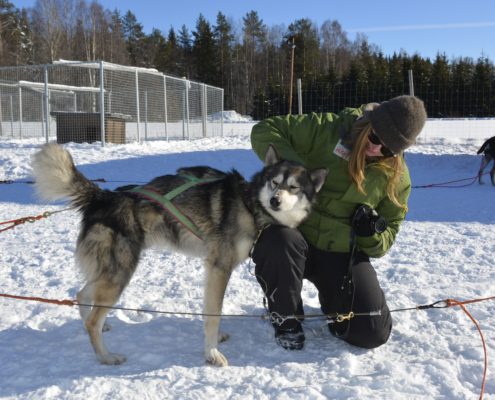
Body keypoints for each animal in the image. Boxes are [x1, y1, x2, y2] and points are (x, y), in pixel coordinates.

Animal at [30, 144, 326, 366]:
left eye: (294, 188)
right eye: (274, 183)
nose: (275, 200)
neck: (249, 203)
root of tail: (102, 196)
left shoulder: (212, 270)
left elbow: (210, 310)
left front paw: (214, 342)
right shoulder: (220, 267)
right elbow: (214, 313)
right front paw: (212, 354)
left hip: (111, 272)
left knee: (82, 295)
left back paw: (101, 329)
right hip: (120, 272)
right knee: (91, 319)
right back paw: (105, 356)